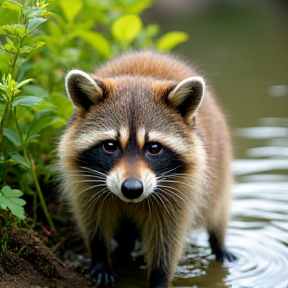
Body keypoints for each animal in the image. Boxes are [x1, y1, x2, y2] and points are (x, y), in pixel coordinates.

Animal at [57, 50, 235, 286]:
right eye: (110, 146)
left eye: (154, 148)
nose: (132, 189)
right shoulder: (83, 181)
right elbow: (92, 220)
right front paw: (100, 256)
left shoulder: (182, 191)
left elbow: (167, 239)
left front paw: (160, 276)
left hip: (220, 173)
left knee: (218, 211)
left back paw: (219, 242)